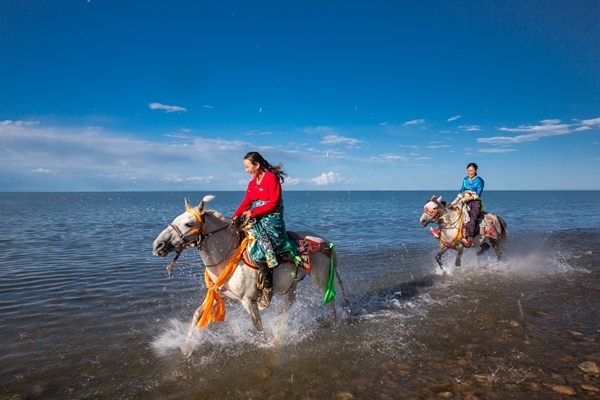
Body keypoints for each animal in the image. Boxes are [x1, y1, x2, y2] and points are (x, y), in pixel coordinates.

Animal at [152, 195, 346, 354]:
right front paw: (186, 348)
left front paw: (266, 343)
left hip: (320, 280)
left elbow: (258, 326)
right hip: (293, 283)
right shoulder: (218, 294)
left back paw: (335, 324)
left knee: (330, 299)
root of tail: (324, 241)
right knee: (289, 303)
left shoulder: (248, 301)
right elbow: (197, 314)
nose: (157, 245)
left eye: (189, 224)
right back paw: (279, 325)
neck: (228, 256)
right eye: (176, 219)